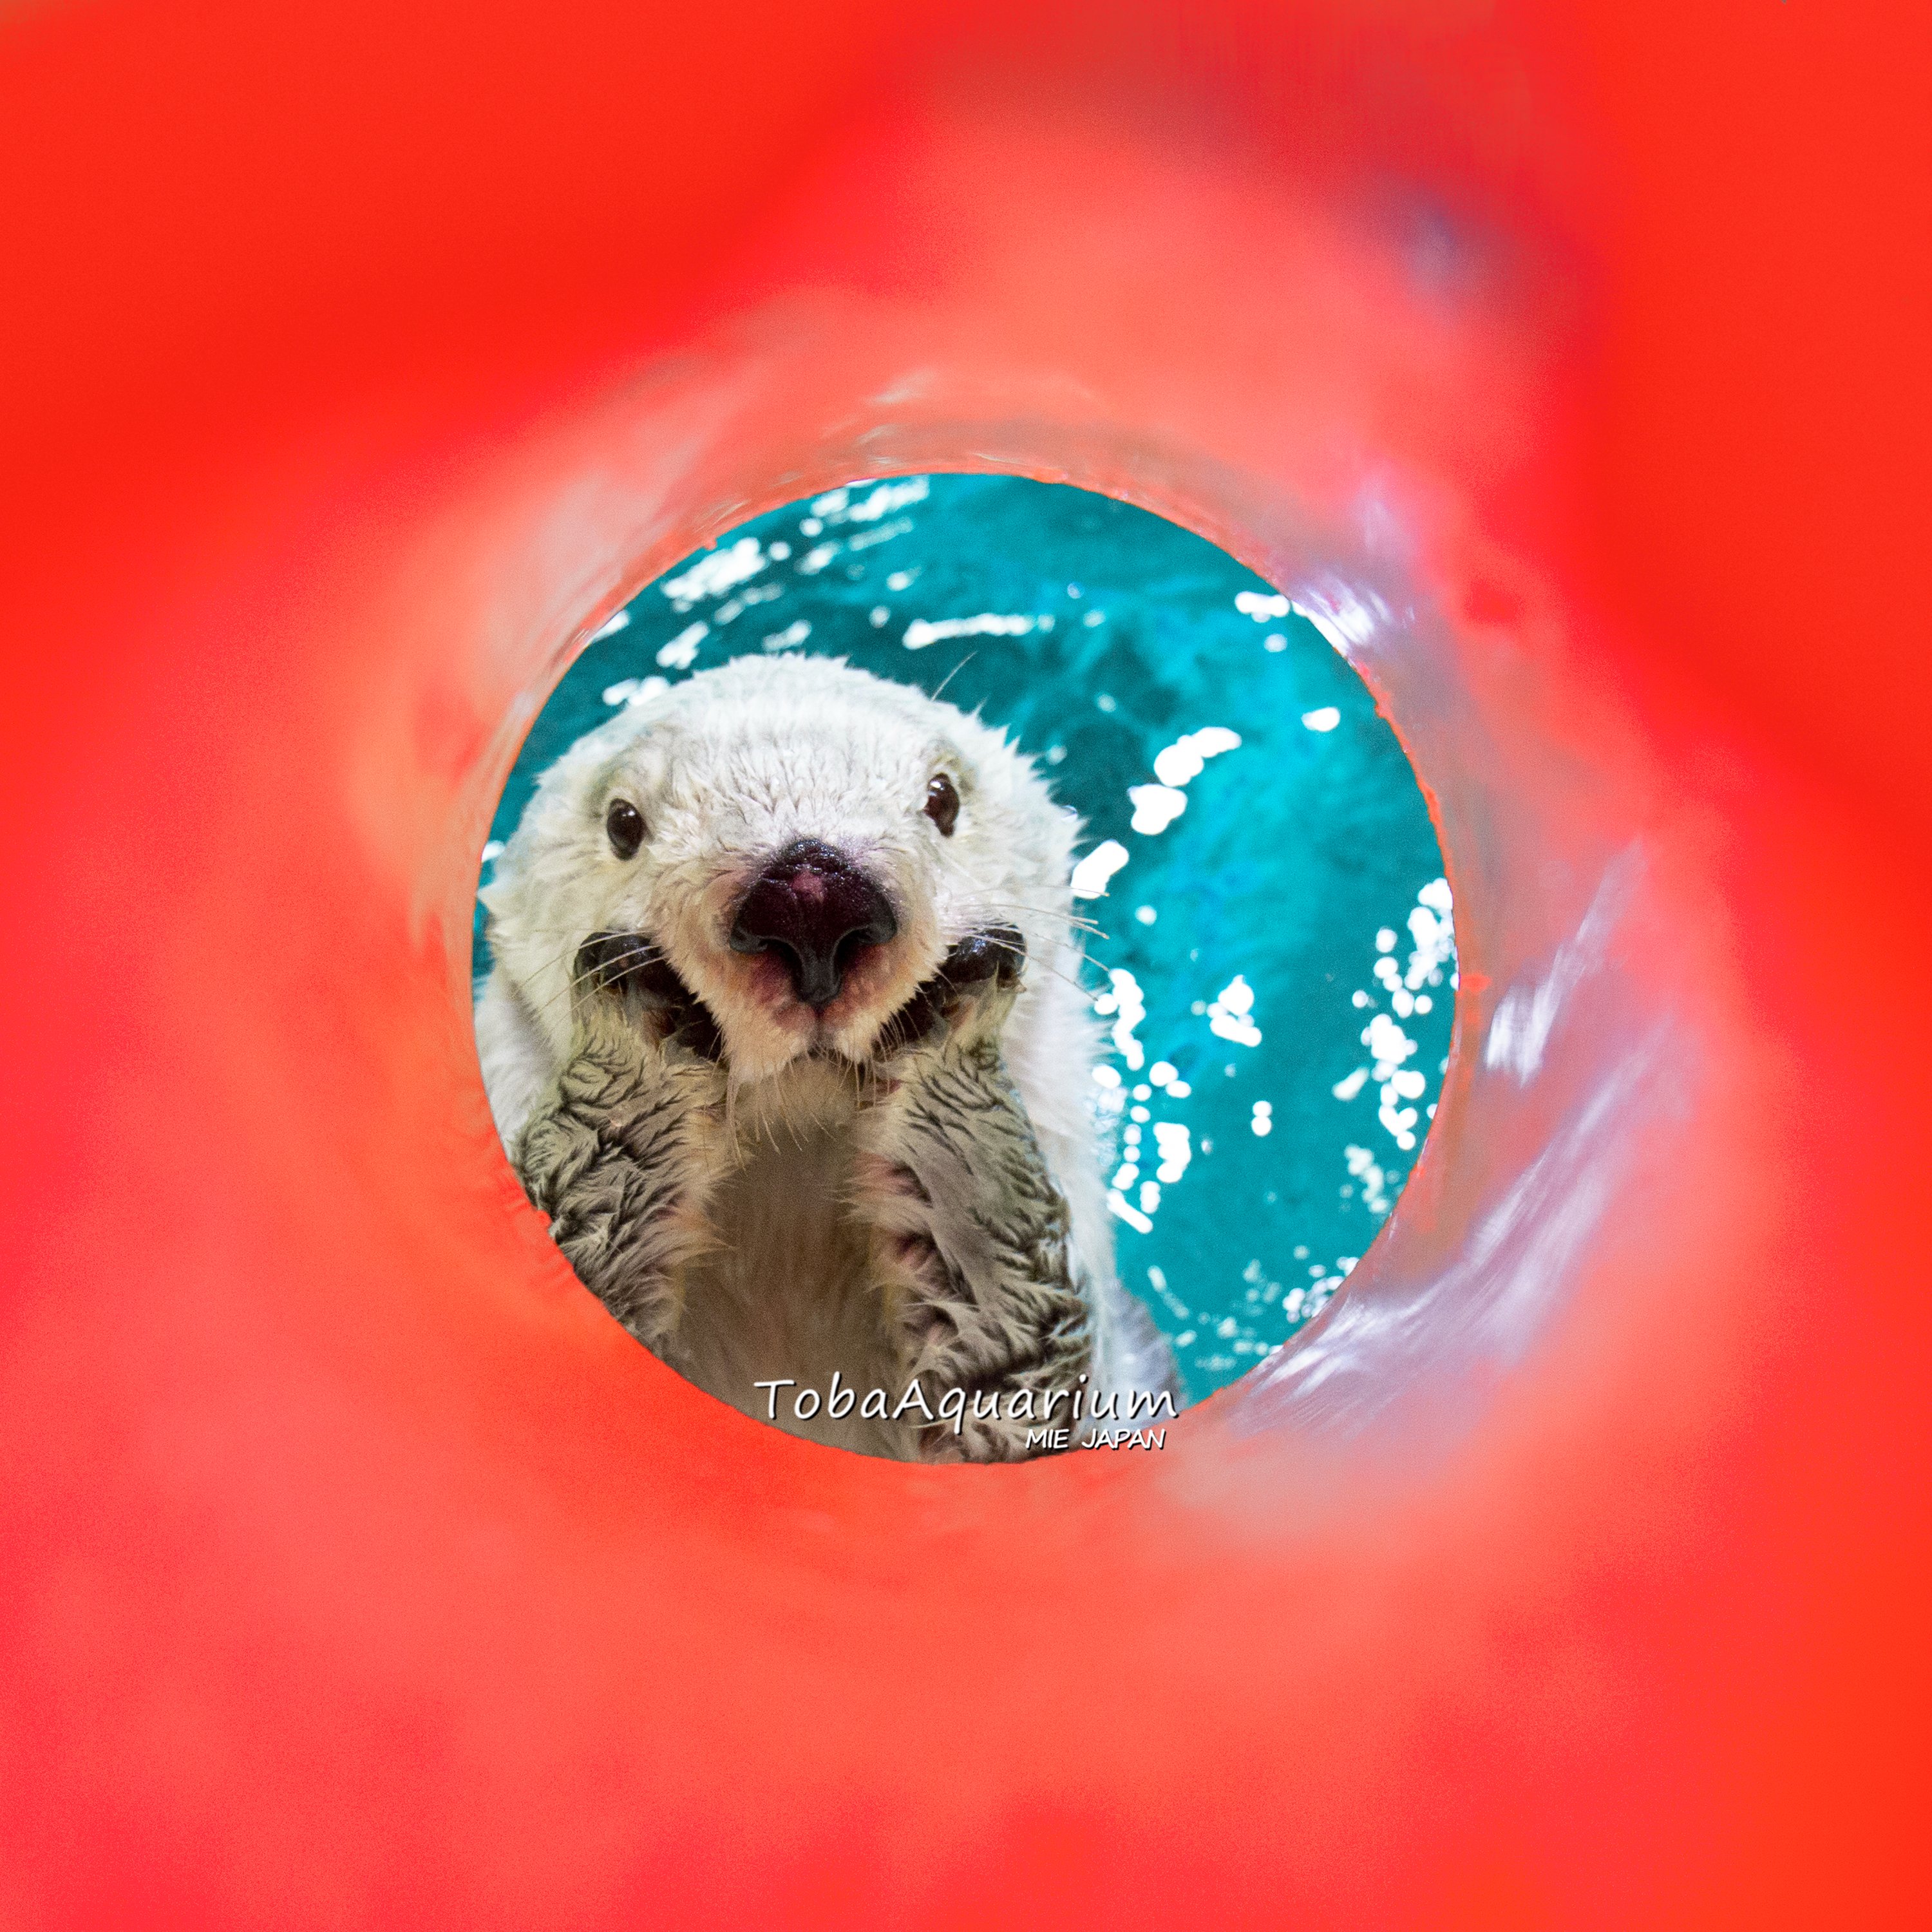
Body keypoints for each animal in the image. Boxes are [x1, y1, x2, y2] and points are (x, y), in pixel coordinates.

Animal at [479, 657, 1175, 1453]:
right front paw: (636, 1043)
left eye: (943, 799)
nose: (810, 896)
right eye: (623, 823)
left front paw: (953, 1055)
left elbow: (1021, 1383)